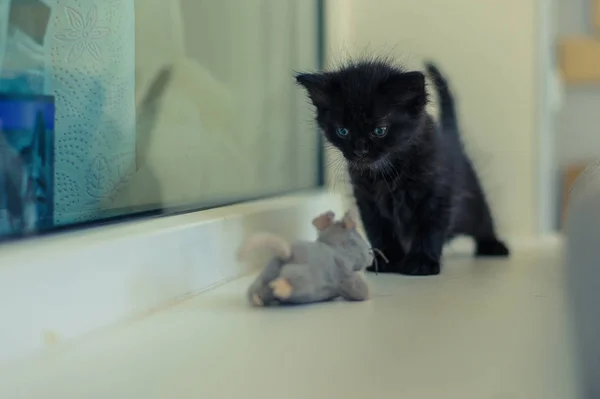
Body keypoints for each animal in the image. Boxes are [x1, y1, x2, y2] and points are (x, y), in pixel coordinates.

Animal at [298, 59, 508, 276]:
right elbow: (379, 230)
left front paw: (422, 262)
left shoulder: (436, 194)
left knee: (484, 221)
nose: (360, 151)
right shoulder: (368, 200)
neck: (388, 171)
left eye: (380, 130)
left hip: (472, 202)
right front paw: (387, 261)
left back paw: (493, 245)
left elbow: (429, 228)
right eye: (343, 131)